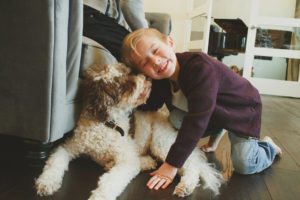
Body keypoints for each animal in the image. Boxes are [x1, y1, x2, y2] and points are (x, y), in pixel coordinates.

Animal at [34, 63, 155, 200]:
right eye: (126, 84)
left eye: (129, 72)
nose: (148, 78)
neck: (105, 124)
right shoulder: (69, 146)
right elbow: (55, 161)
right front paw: (46, 182)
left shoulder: (127, 160)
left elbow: (111, 181)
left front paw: (99, 196)